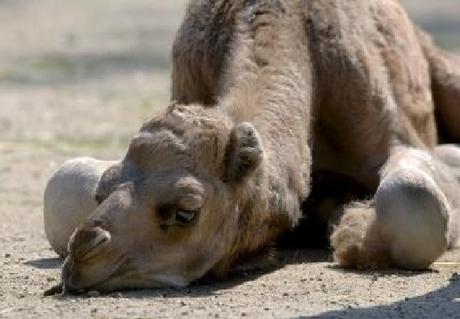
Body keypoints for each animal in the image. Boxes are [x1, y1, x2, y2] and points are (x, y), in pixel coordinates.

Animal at [43, 0, 460, 296]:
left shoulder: (393, 130)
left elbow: (414, 193)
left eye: (186, 213)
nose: (85, 255)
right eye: (102, 193)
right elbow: (61, 183)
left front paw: (352, 235)